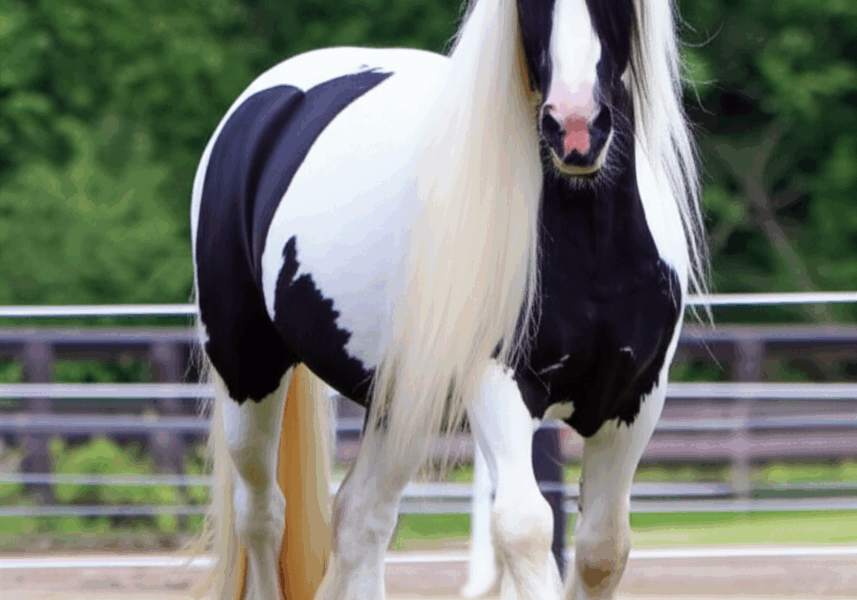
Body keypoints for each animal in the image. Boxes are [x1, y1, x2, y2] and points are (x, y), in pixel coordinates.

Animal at [189, 0, 708, 597]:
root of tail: (266, 102)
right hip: (248, 372)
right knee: (261, 515)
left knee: (361, 520)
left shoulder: (635, 400)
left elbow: (604, 547)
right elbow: (526, 528)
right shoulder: (498, 384)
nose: (575, 128)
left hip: (397, 405)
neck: (592, 241)